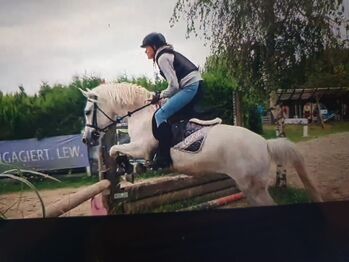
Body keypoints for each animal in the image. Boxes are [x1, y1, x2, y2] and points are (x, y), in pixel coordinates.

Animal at [80, 83, 322, 206]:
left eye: (87, 111)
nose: (86, 138)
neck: (141, 114)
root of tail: (264, 143)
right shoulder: (139, 148)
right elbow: (117, 150)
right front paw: (130, 169)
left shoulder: (142, 147)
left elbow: (115, 149)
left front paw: (128, 168)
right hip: (249, 188)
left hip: (253, 187)